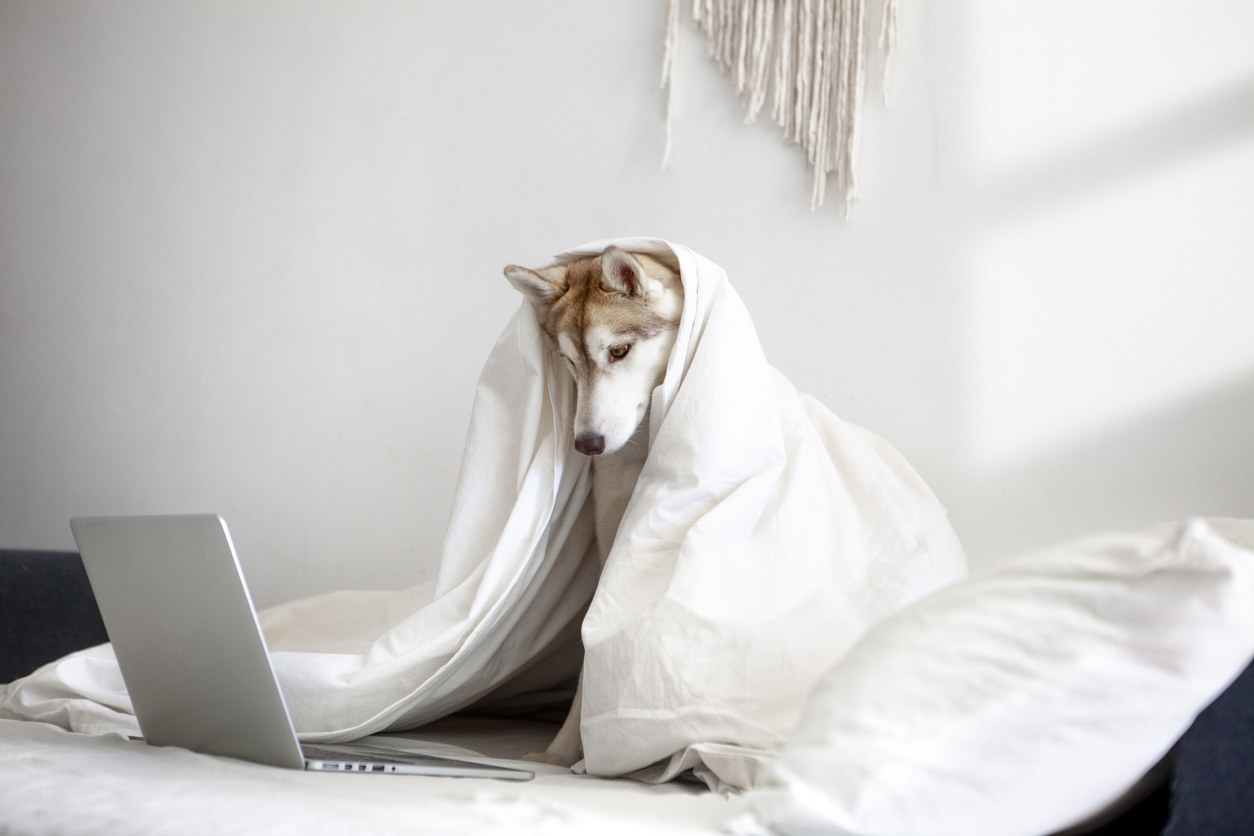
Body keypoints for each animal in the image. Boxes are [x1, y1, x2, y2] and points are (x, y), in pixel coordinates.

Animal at [501, 243, 687, 767]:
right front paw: (560, 755)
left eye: (618, 351)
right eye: (568, 361)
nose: (586, 444)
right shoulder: (610, 557)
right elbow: (590, 663)